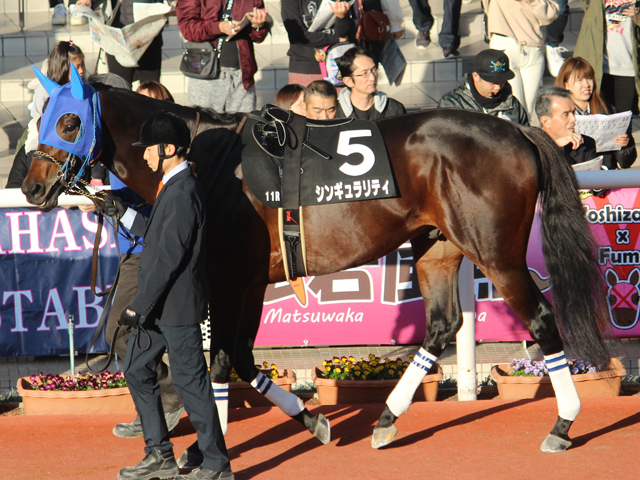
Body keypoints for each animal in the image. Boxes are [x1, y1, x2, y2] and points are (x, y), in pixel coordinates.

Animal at [23, 67, 612, 455]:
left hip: (495, 252)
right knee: (443, 325)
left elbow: (220, 360)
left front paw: (207, 448)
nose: (31, 187)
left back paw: (562, 425)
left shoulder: (226, 276)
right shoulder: (251, 281)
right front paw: (312, 421)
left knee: (541, 320)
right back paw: (387, 419)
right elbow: (241, 358)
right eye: (40, 119)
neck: (209, 161)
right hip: (438, 247)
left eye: (69, 122)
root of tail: (518, 130)